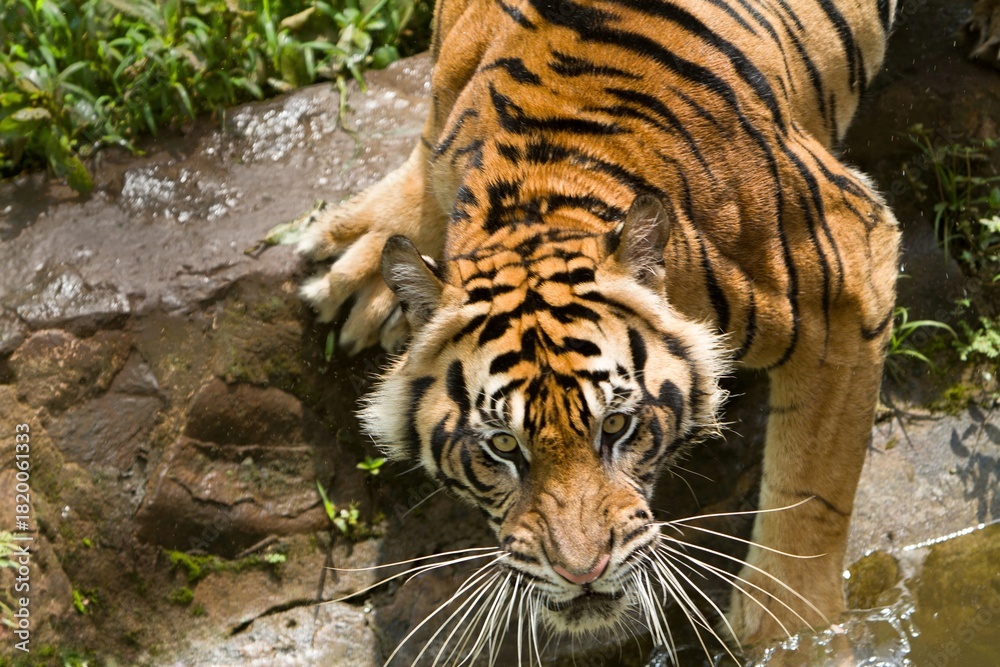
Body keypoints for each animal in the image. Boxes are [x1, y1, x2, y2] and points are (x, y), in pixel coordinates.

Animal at [297, 0, 903, 660]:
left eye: (615, 426)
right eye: (502, 445)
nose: (581, 572)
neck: (536, 196)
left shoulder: (846, 276)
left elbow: (809, 503)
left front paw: (795, 641)